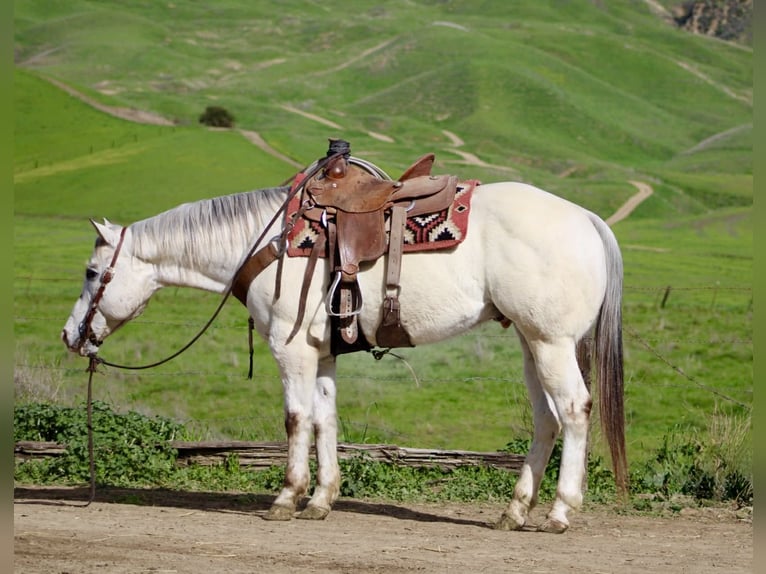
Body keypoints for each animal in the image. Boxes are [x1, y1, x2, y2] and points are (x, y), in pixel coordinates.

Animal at [61, 158, 627, 534]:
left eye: (91, 272)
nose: (71, 335)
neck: (265, 241)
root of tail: (588, 219)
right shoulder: (324, 354)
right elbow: (324, 420)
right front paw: (321, 499)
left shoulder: (291, 350)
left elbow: (295, 420)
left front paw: (287, 498)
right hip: (533, 344)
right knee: (546, 418)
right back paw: (514, 511)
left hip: (552, 343)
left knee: (574, 410)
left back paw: (559, 511)